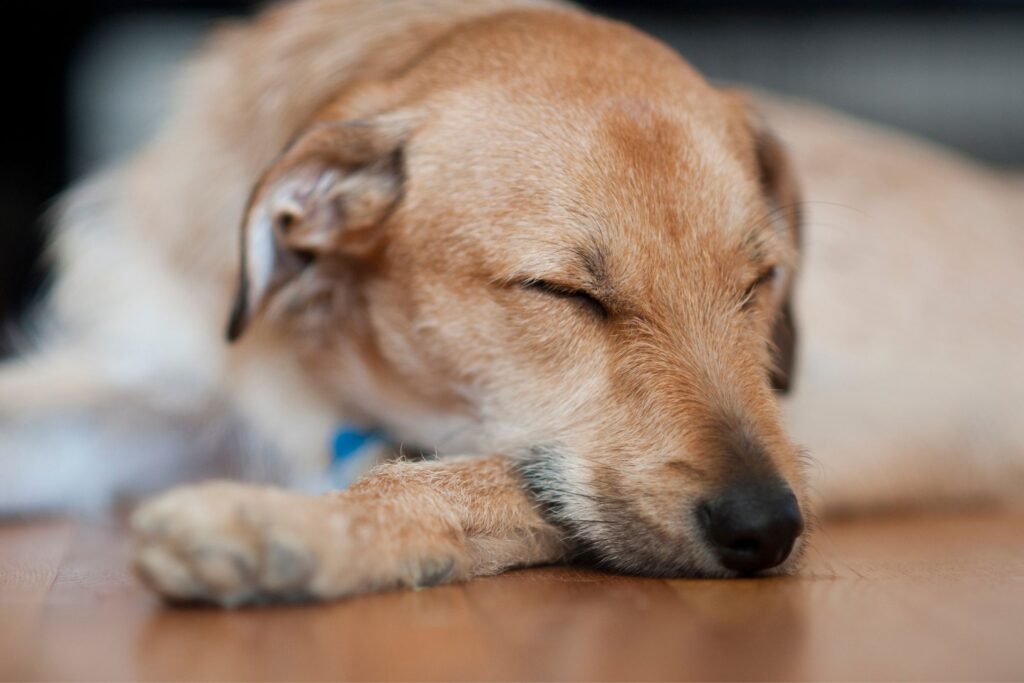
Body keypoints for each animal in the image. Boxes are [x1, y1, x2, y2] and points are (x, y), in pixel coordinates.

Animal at [0, 0, 1019, 610]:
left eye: (758, 283)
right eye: (564, 292)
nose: (768, 530)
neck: (317, 350)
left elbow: (449, 480)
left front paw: (282, 528)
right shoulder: (166, 392)